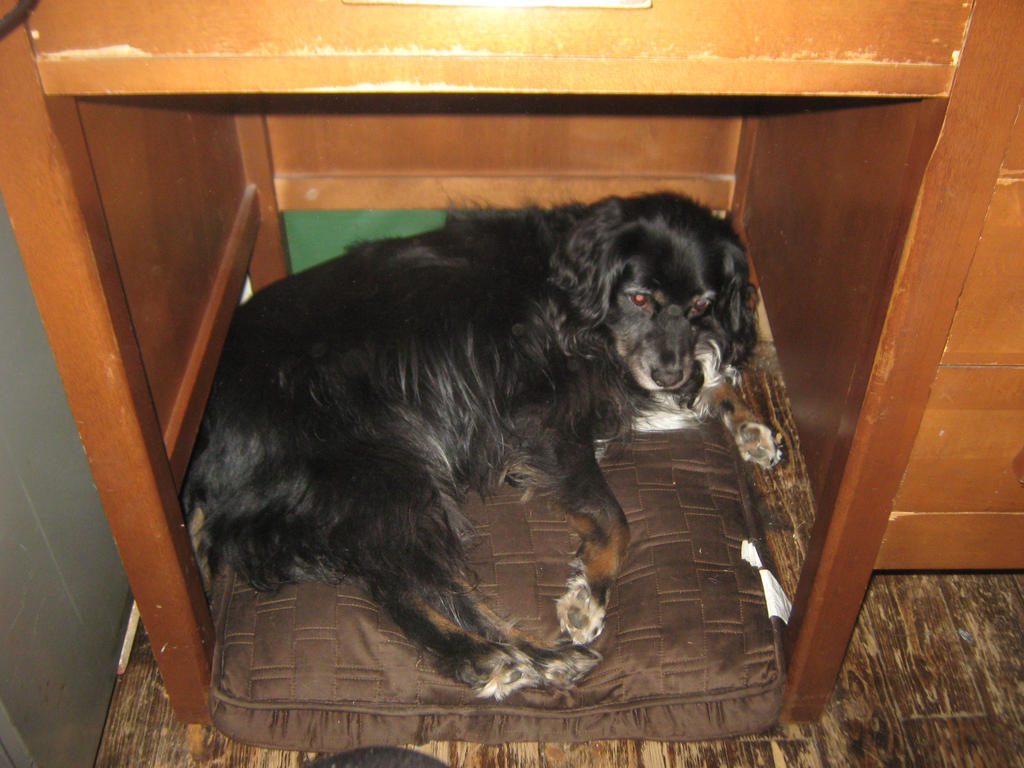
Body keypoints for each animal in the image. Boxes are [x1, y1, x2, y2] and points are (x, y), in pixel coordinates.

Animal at [184, 193, 778, 704]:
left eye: (702, 305)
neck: (572, 295)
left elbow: (710, 381)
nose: (667, 372)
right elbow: (615, 519)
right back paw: (520, 658)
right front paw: (588, 595)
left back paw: (516, 660)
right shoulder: (543, 415)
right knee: (422, 590)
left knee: (398, 586)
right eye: (638, 299)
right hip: (389, 473)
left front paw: (753, 428)